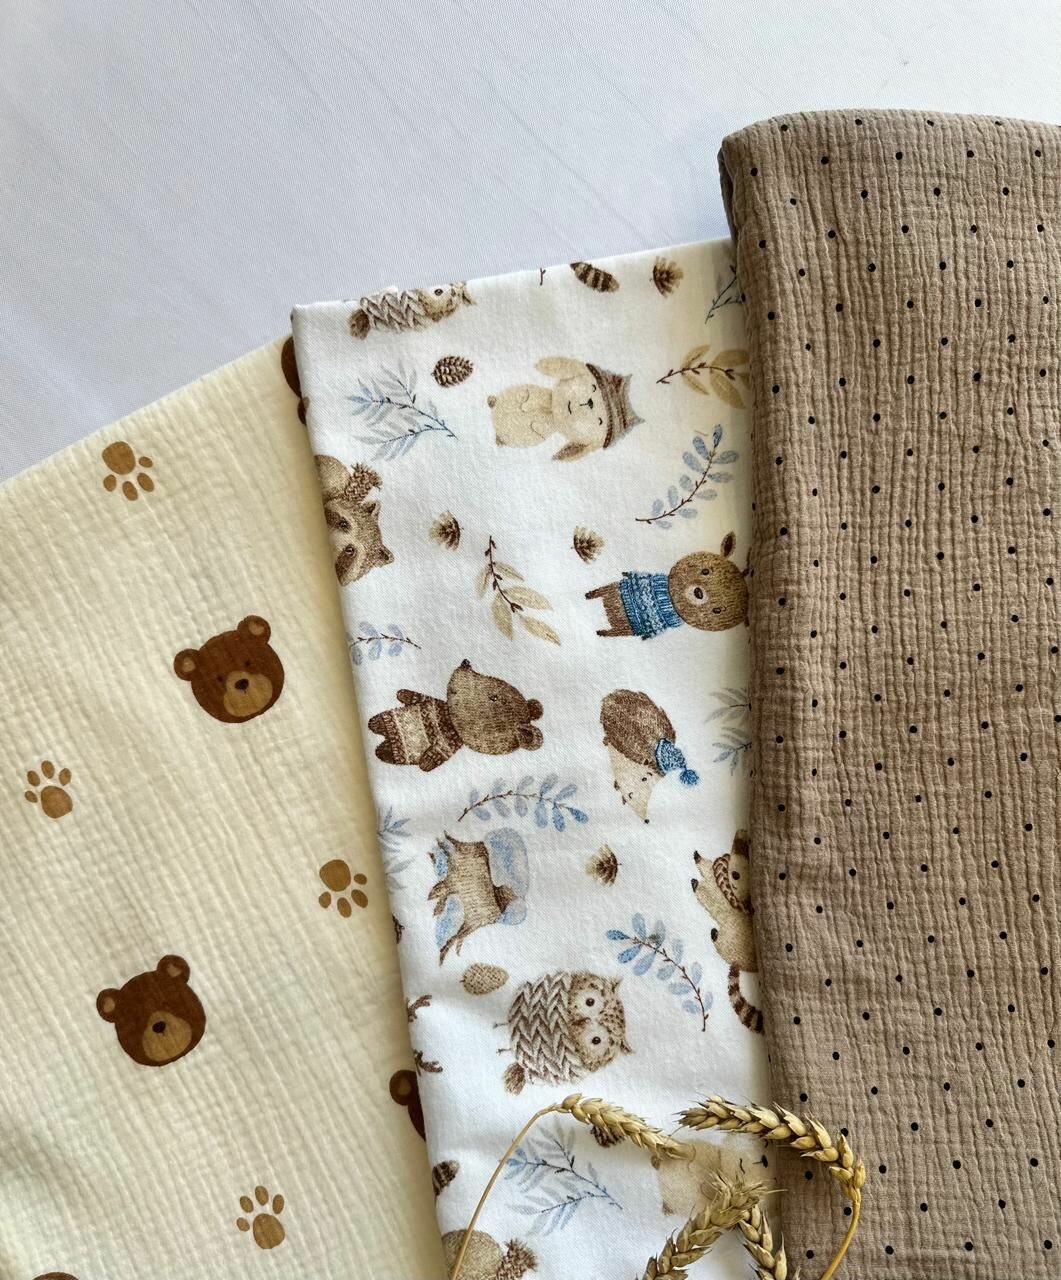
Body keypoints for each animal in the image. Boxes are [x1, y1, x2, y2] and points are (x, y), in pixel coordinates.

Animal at [367, 659, 543, 772]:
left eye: (494, 698)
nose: (466, 663)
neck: (448, 721)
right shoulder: (433, 704)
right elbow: (420, 698)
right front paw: (402, 693)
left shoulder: (447, 744)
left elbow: (437, 754)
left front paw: (426, 762)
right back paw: (375, 724)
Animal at [487, 357, 642, 462]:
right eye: (593, 387)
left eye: (600, 421)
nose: (590, 402)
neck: (551, 410)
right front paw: (525, 402)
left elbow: (539, 428)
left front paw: (535, 424)